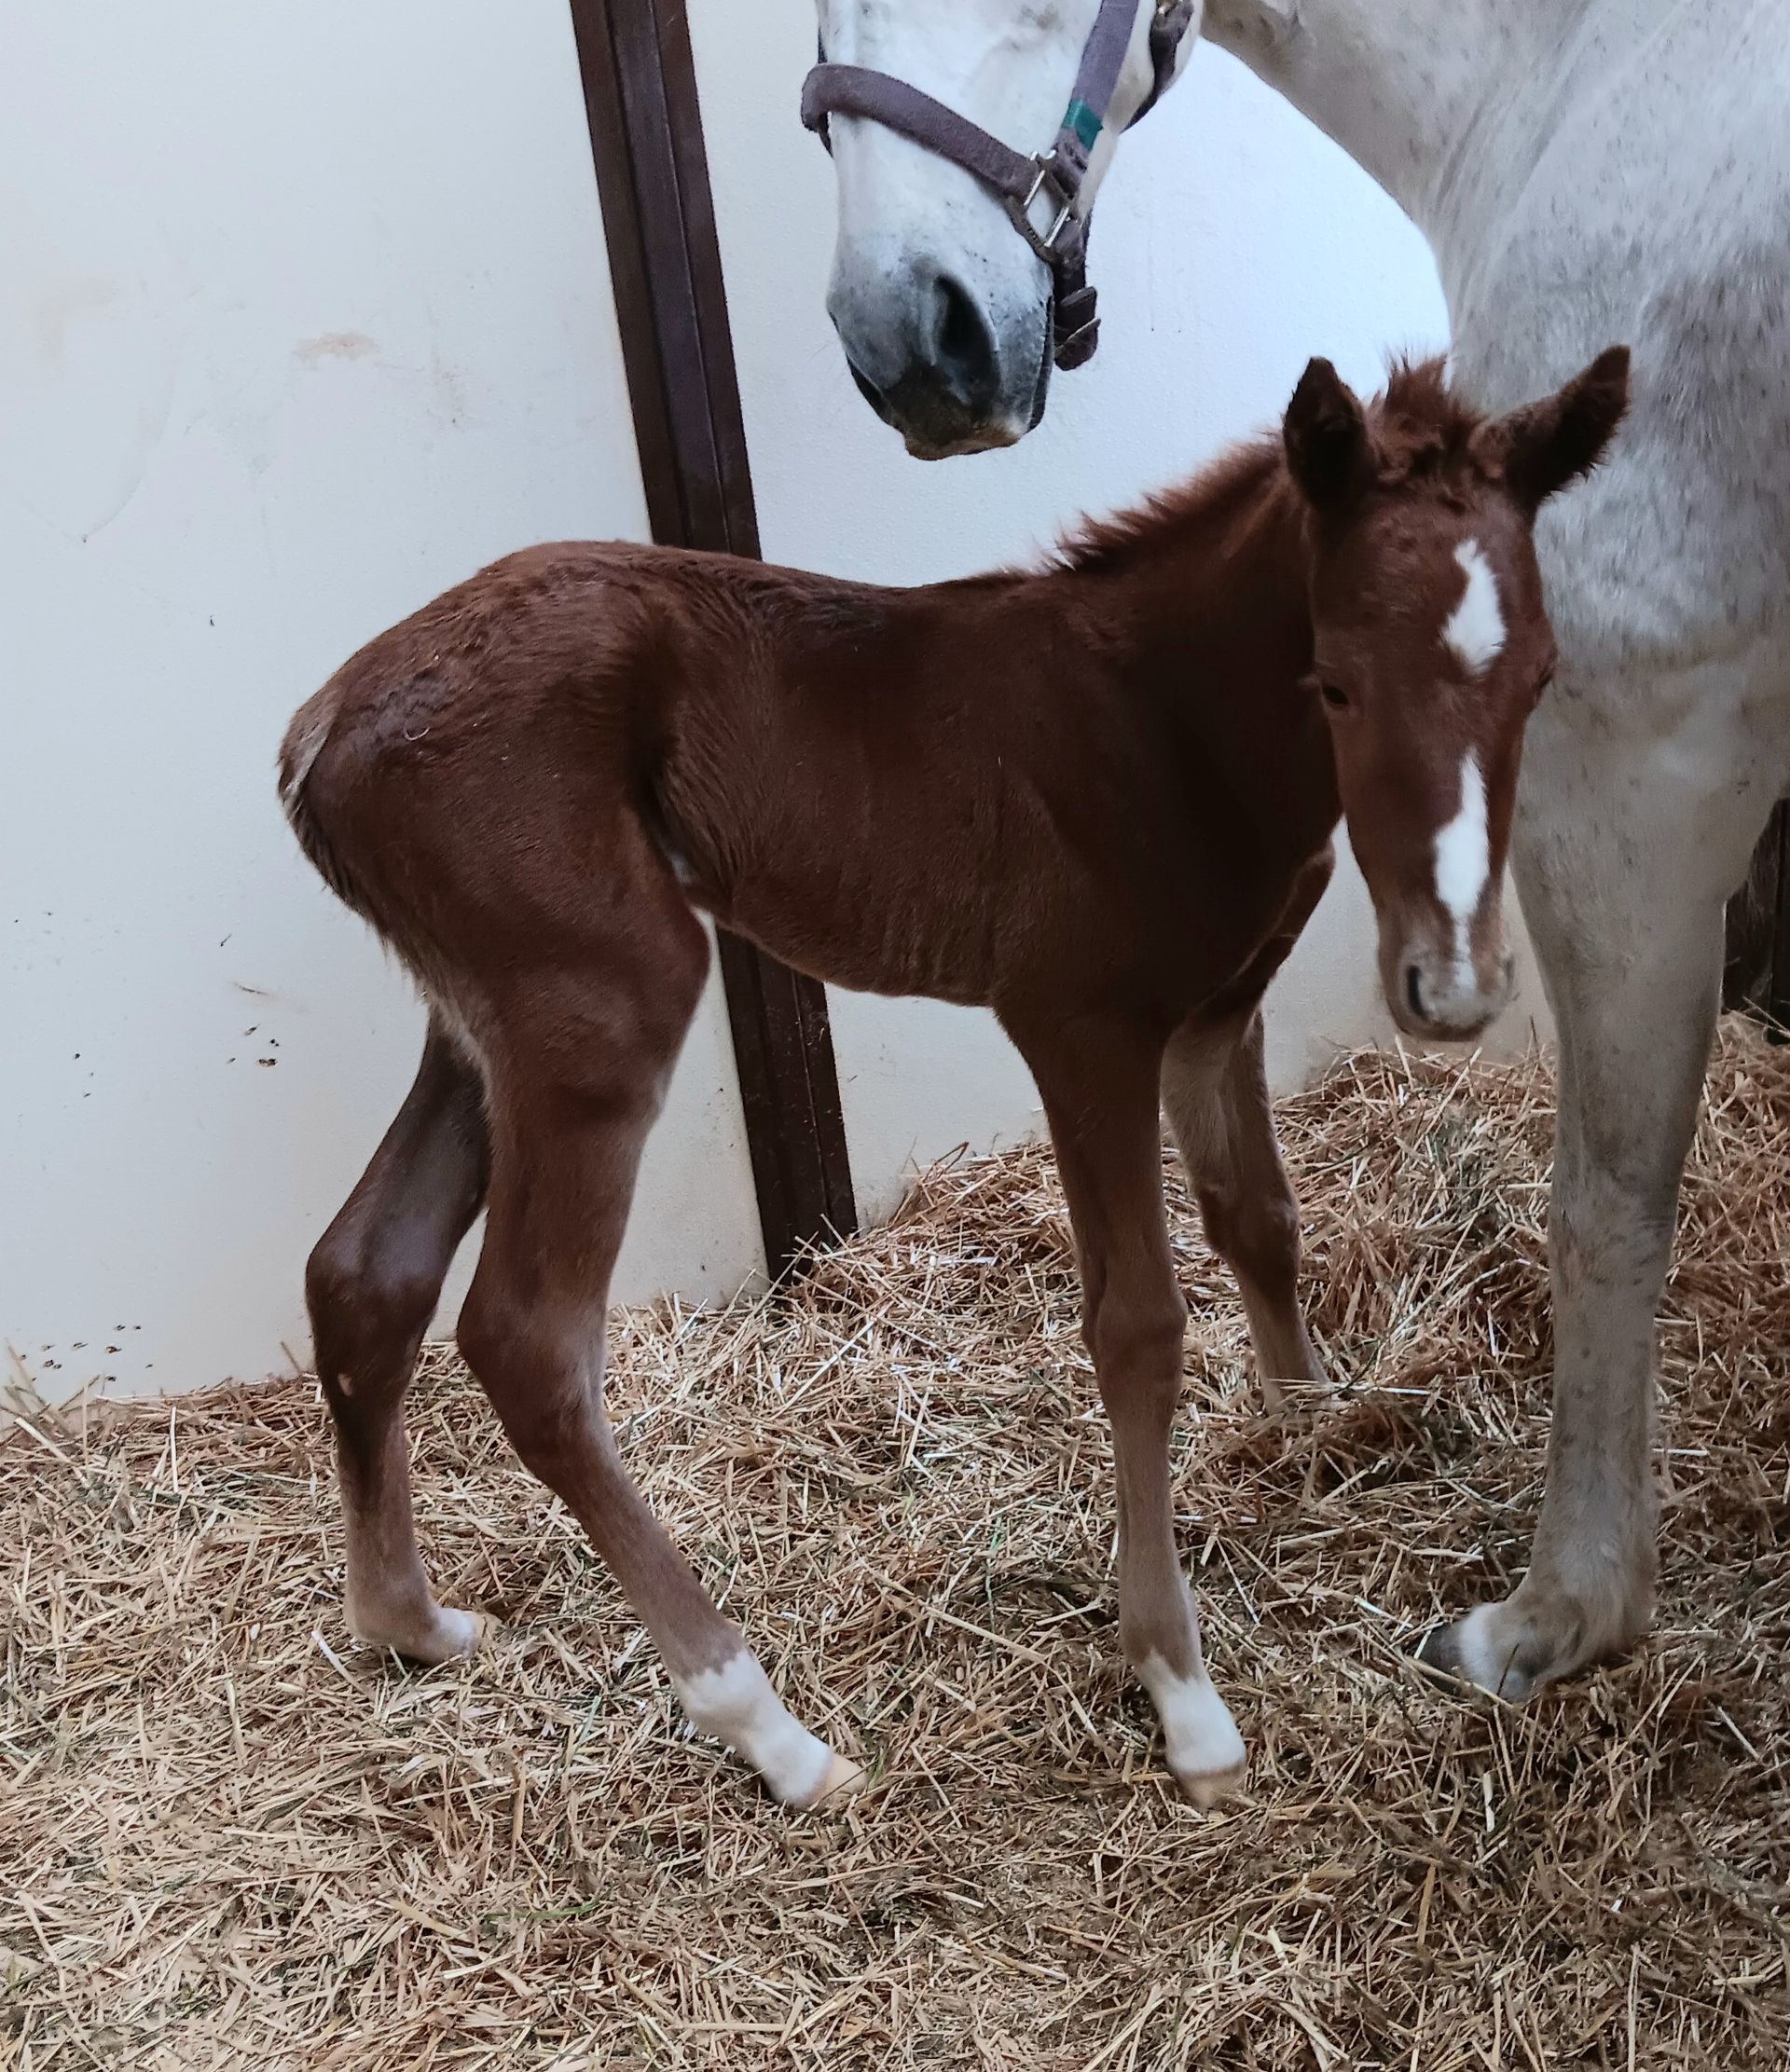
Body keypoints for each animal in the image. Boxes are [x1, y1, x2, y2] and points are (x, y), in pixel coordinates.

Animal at [281, 351, 1625, 1805]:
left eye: (1542, 679)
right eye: (1335, 682)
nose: (1457, 984)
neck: (1166, 727)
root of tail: (323, 731)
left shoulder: (1220, 1014)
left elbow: (1262, 1220)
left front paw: (1318, 1431)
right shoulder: (1082, 1027)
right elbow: (1139, 1325)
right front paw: (1184, 1693)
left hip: (484, 1029)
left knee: (367, 1266)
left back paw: (409, 1621)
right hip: (600, 1005)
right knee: (528, 1339)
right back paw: (770, 1728)